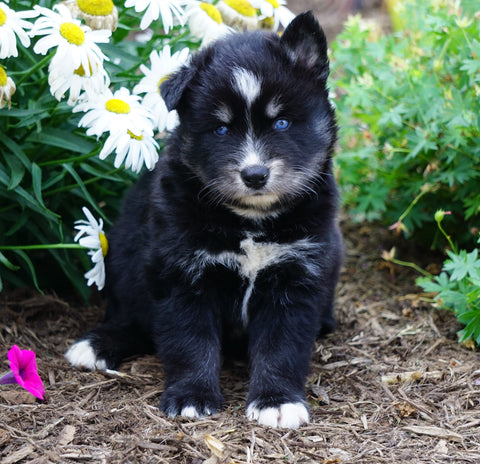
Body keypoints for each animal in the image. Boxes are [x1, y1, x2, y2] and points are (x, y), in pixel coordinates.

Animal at [65, 11, 344, 432]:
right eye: (221, 129)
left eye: (281, 123)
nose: (255, 174)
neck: (250, 222)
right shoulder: (182, 275)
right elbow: (190, 343)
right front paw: (192, 397)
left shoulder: (296, 277)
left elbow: (281, 347)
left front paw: (276, 401)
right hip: (125, 258)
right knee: (132, 318)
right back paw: (96, 345)